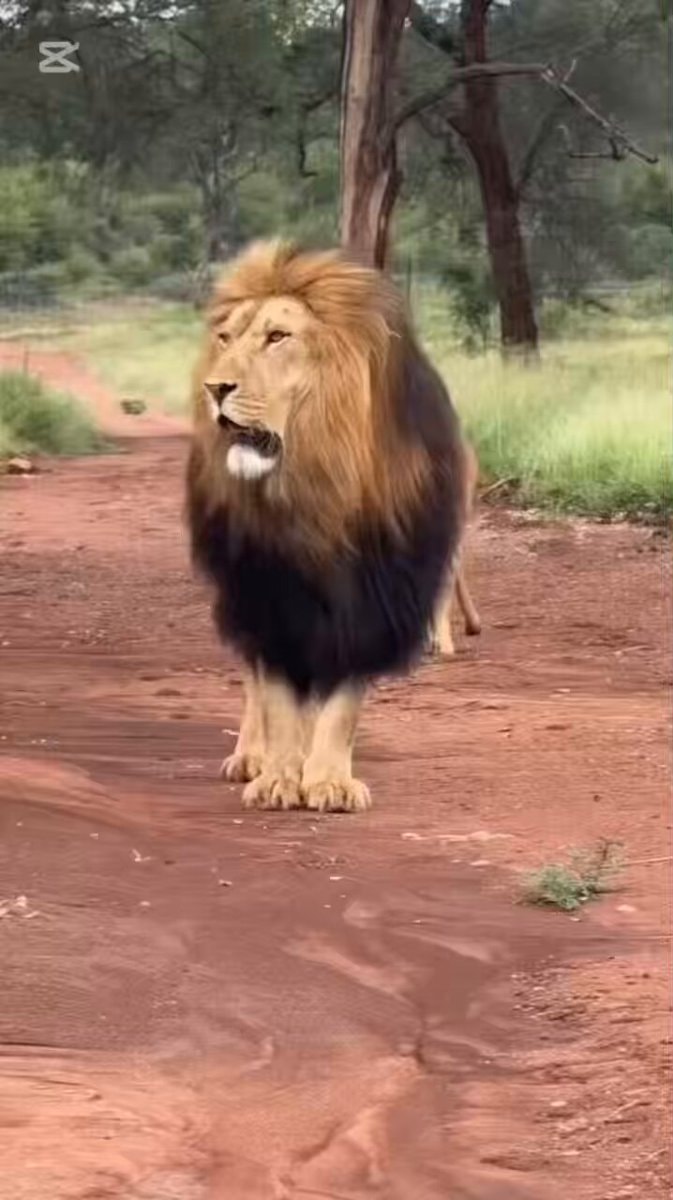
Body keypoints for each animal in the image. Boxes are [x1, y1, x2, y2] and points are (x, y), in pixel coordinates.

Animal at [186, 239, 470, 812]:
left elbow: (342, 702)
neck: (316, 486)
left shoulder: (375, 596)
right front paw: (278, 778)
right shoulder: (266, 591)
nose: (214, 387)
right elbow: (275, 694)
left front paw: (329, 781)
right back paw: (253, 756)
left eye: (278, 337)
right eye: (226, 338)